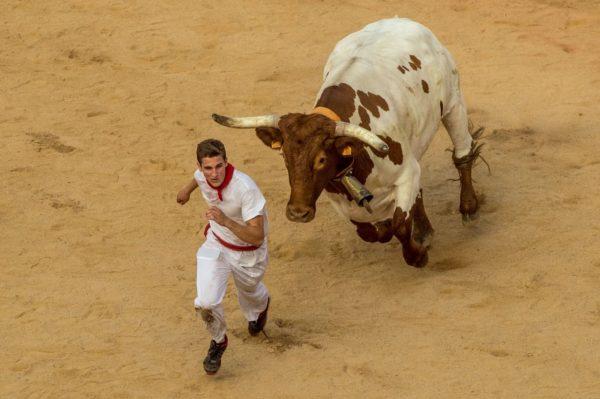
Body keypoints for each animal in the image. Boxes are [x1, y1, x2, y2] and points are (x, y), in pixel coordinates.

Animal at [211, 18, 482, 268]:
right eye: (285, 158)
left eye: (321, 159)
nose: (298, 213)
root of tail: (402, 20)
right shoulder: (342, 201)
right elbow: (369, 231)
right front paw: (400, 233)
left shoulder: (406, 173)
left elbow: (400, 224)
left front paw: (417, 256)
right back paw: (424, 231)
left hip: (453, 103)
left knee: (462, 154)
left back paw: (469, 207)